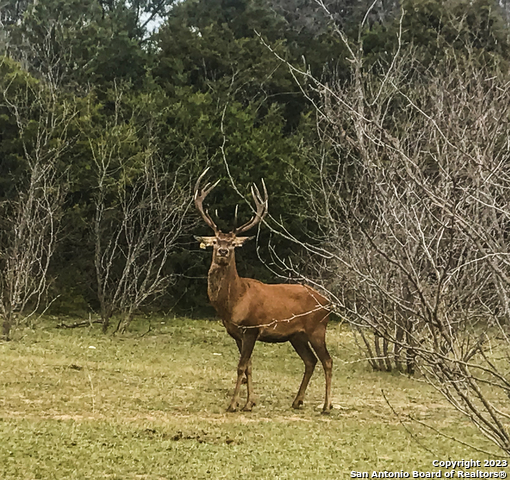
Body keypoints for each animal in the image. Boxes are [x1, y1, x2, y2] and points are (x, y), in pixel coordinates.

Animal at [193, 169, 332, 412]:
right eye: (216, 241)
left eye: (233, 244)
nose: (222, 252)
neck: (235, 302)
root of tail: (329, 304)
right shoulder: (236, 333)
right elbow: (248, 366)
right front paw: (249, 403)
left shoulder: (252, 328)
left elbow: (241, 366)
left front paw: (233, 404)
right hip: (297, 335)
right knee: (310, 360)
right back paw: (297, 401)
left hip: (317, 328)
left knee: (327, 361)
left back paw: (326, 406)